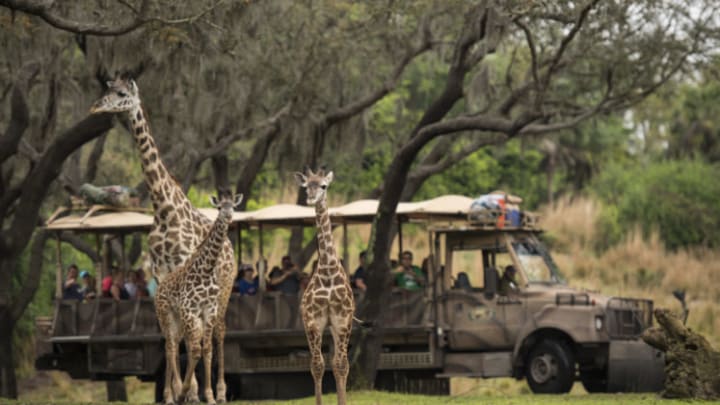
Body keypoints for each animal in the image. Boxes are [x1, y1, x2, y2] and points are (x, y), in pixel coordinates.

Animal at [154, 191, 243, 404]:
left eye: (233, 206)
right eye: (219, 207)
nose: (228, 216)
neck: (207, 269)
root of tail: (159, 286)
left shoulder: (208, 311)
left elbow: (207, 349)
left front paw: (210, 396)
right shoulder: (191, 310)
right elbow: (195, 349)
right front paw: (185, 392)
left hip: (178, 319)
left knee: (174, 346)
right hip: (165, 315)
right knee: (170, 347)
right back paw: (172, 395)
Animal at [294, 167, 356, 404]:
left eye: (323, 186)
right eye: (306, 187)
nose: (312, 198)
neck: (328, 271)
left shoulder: (343, 320)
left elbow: (341, 365)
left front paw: (342, 401)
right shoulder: (313, 322)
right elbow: (317, 365)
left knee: (338, 362)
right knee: (323, 362)